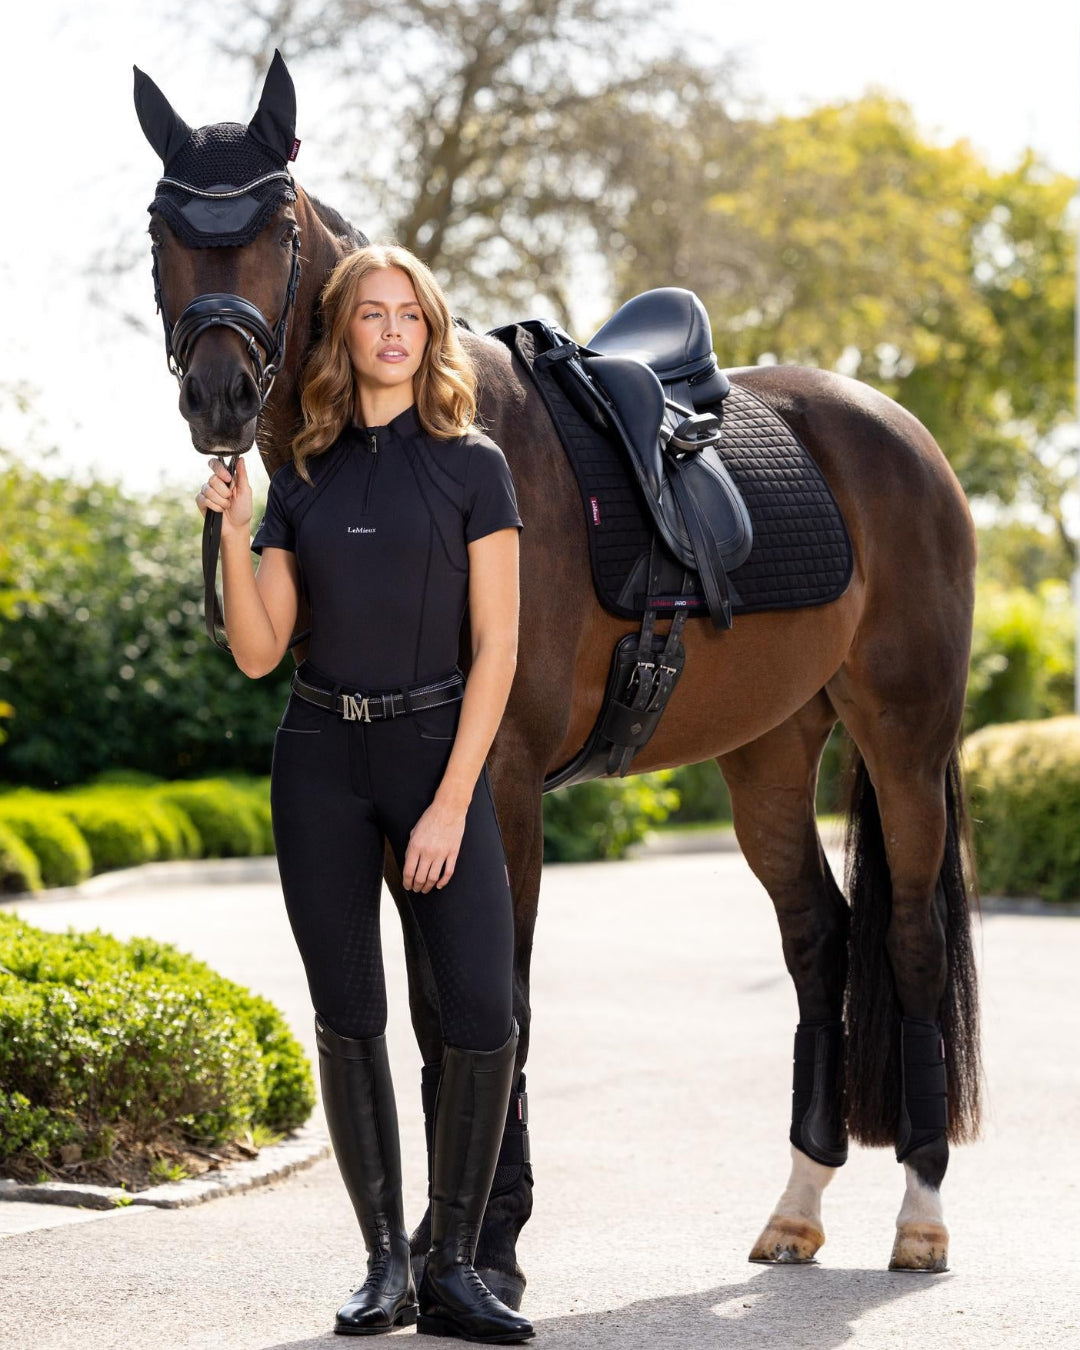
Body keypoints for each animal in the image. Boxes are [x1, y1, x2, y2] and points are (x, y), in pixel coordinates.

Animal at [133, 50, 980, 1304]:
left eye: (277, 223)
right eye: (163, 226)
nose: (220, 398)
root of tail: (902, 436)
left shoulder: (500, 792)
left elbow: (502, 1010)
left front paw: (490, 1254)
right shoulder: (423, 817)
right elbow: (435, 1020)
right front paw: (439, 1254)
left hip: (905, 741)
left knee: (911, 940)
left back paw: (921, 1217)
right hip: (772, 754)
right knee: (818, 938)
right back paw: (797, 1206)